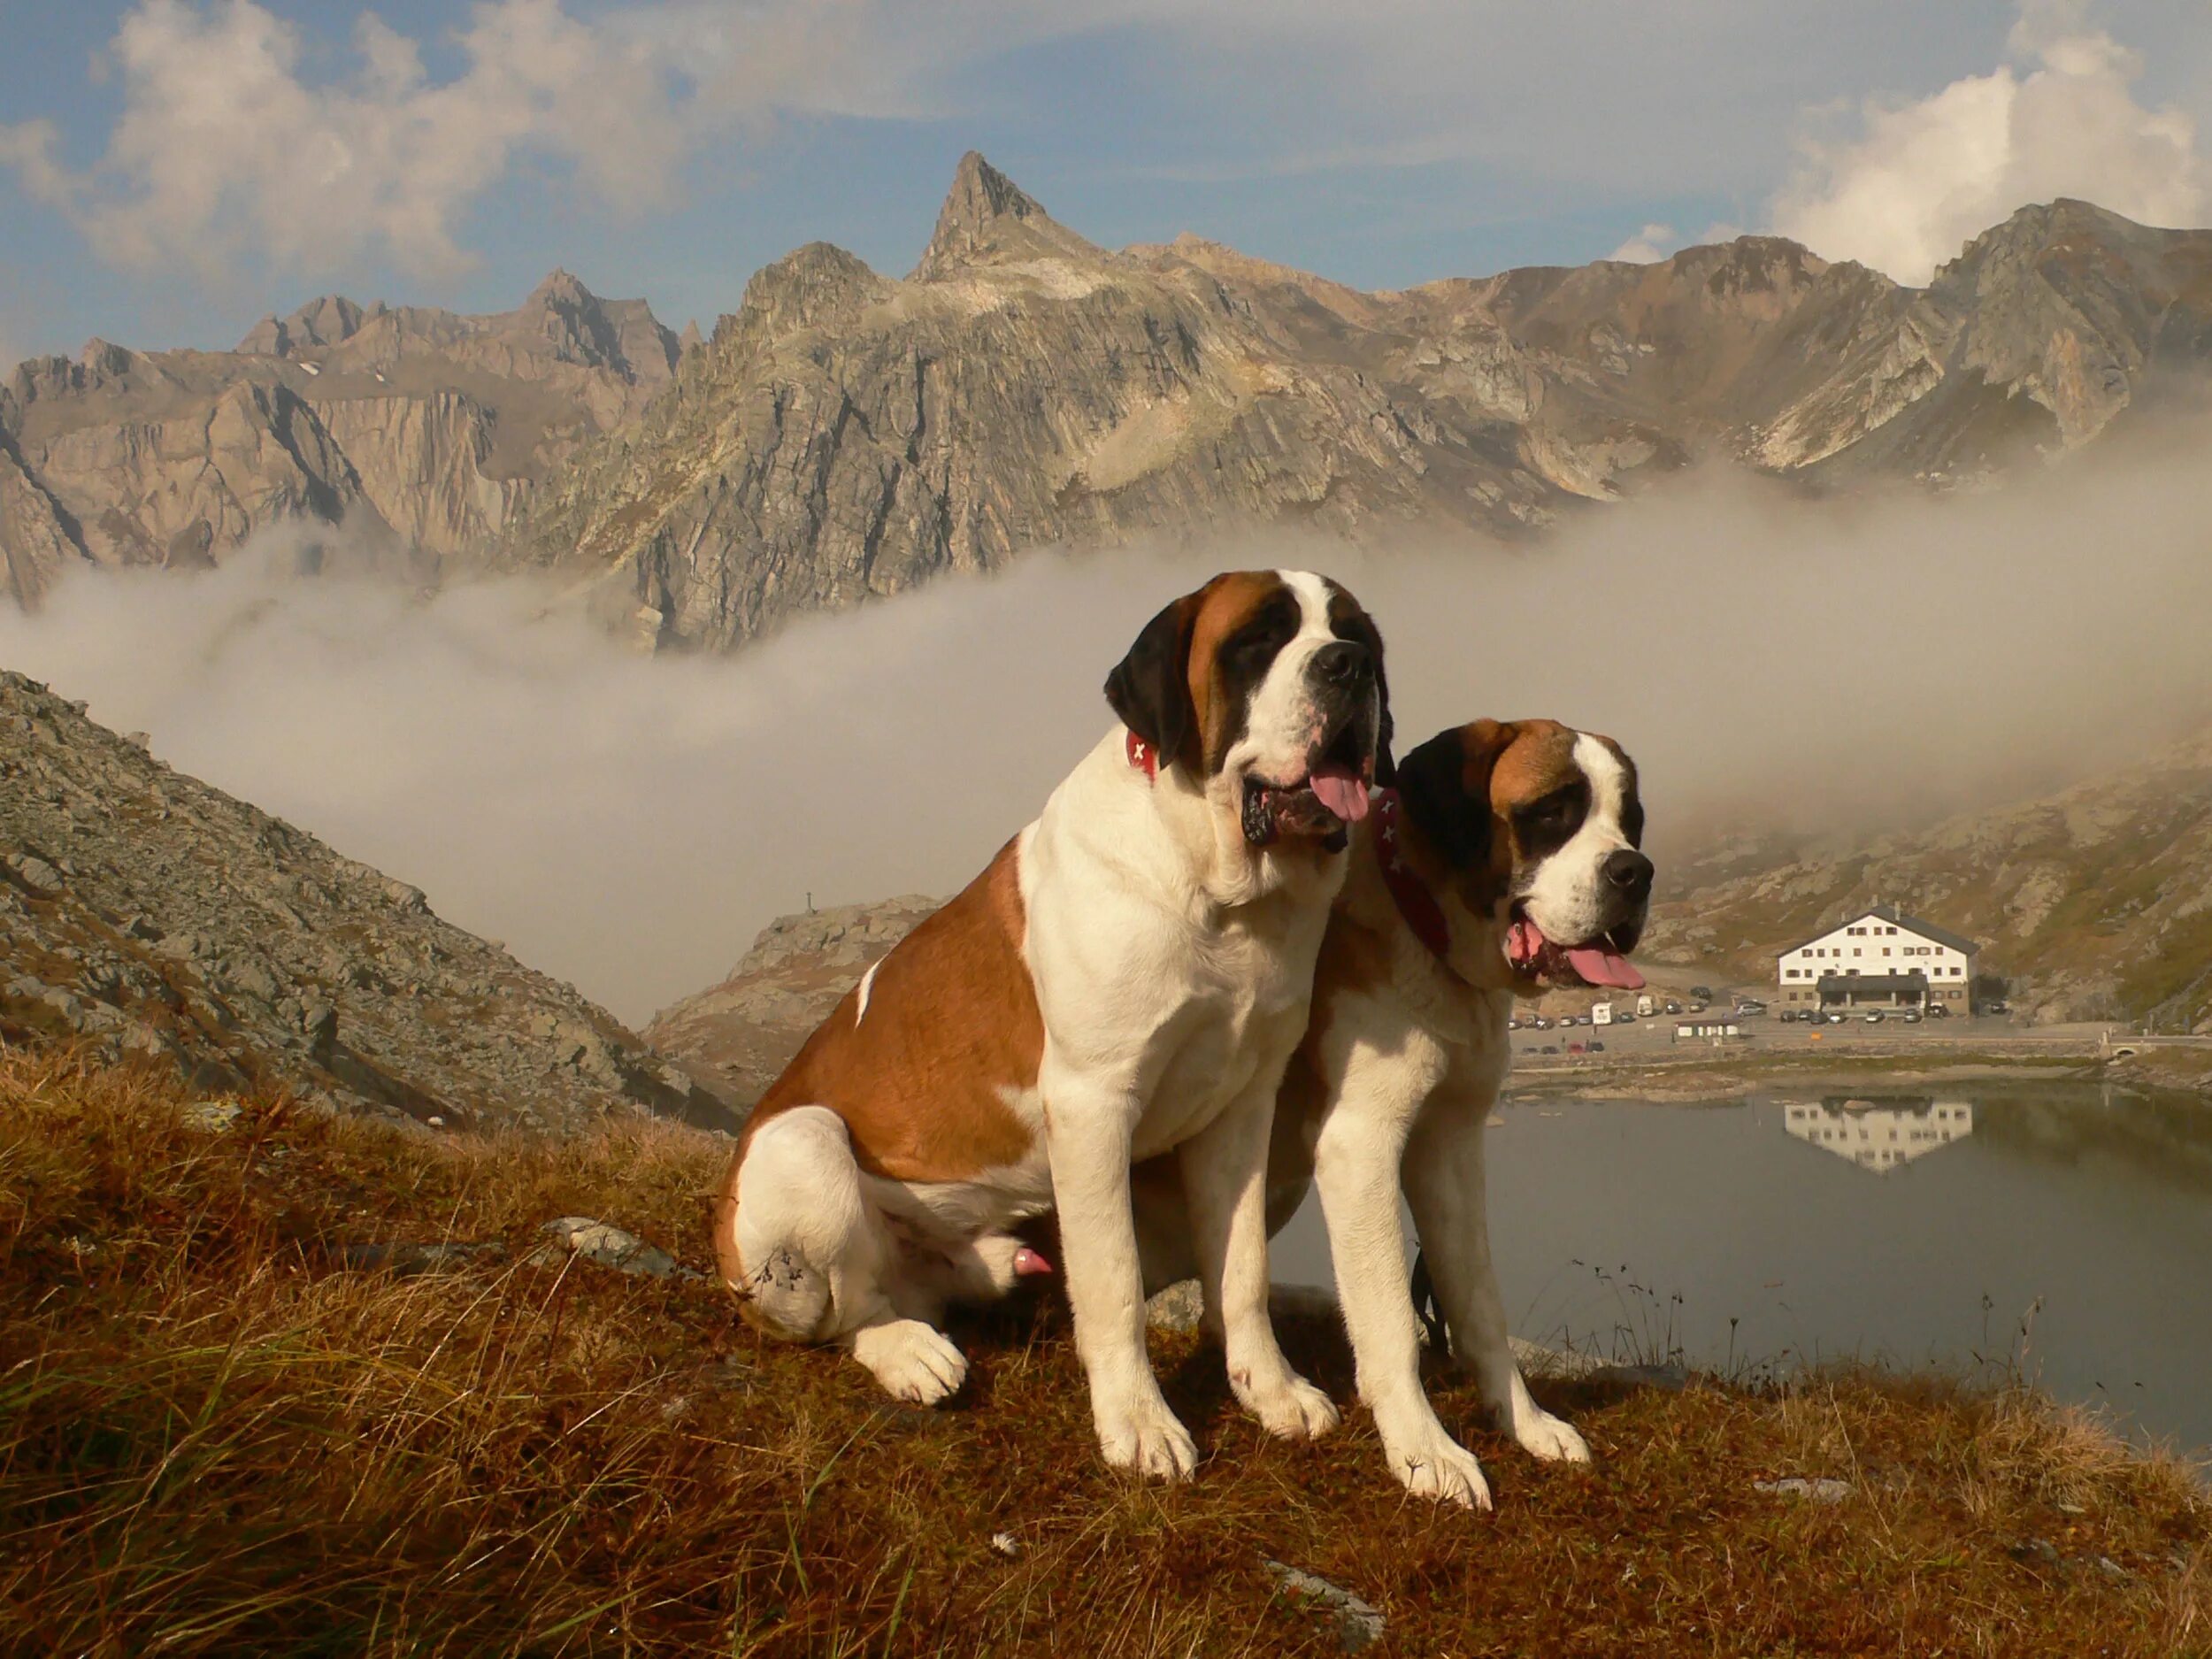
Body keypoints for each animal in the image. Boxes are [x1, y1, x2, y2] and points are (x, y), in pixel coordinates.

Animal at [717, 571, 1389, 1478]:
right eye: (1258, 638)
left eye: (1359, 635)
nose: (1347, 665)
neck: (1220, 889)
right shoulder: (1093, 1102)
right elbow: (1113, 1279)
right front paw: (1139, 1423)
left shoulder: (1243, 1107)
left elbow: (1241, 1264)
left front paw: (1271, 1390)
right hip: (805, 1143)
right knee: (850, 1308)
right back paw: (908, 1349)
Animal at [1150, 717, 1655, 1504]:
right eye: (1553, 812)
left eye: (1631, 820)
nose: (1635, 871)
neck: (1426, 928)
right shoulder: (1361, 1148)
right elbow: (1389, 1315)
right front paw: (1425, 1451)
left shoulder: (1450, 1148)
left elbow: (1476, 1300)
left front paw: (1527, 1423)